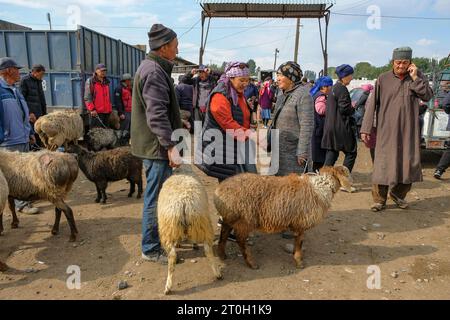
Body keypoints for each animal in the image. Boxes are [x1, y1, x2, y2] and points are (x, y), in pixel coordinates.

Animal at [157, 165, 222, 296]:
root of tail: (184, 201)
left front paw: (182, 243)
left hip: (171, 228)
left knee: (173, 256)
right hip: (198, 223)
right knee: (206, 250)